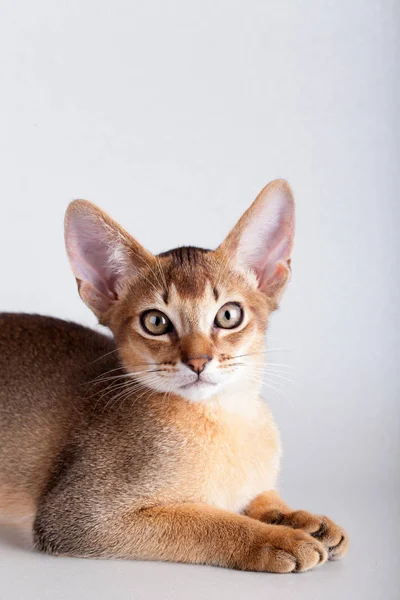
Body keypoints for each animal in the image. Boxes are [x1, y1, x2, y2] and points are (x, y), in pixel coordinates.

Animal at [0, 179, 346, 572]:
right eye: (155, 321)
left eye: (229, 315)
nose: (198, 361)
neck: (226, 418)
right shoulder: (77, 516)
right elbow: (208, 521)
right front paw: (279, 538)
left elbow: (259, 497)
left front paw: (302, 519)